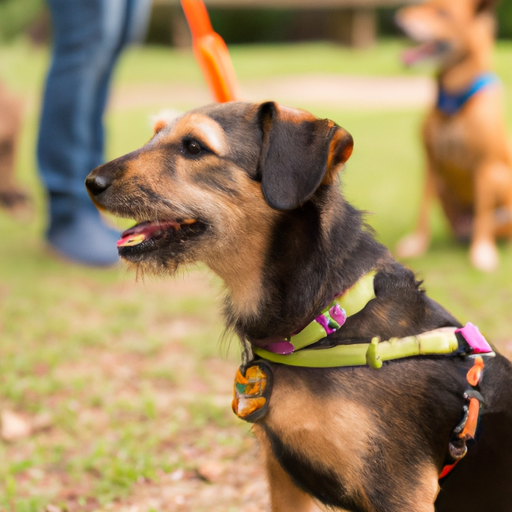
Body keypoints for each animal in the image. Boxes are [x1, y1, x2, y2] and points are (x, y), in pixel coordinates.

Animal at [86, 101, 512, 512]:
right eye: (155, 134)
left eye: (193, 146)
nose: (91, 182)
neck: (328, 320)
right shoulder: (282, 476)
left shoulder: (400, 491)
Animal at [396, 0, 512, 272]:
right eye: (422, 5)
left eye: (443, 13)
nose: (398, 20)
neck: (453, 99)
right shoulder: (430, 162)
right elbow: (423, 209)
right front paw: (417, 243)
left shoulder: (485, 165)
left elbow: (483, 212)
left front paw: (482, 252)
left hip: (500, 177)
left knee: (491, 220)